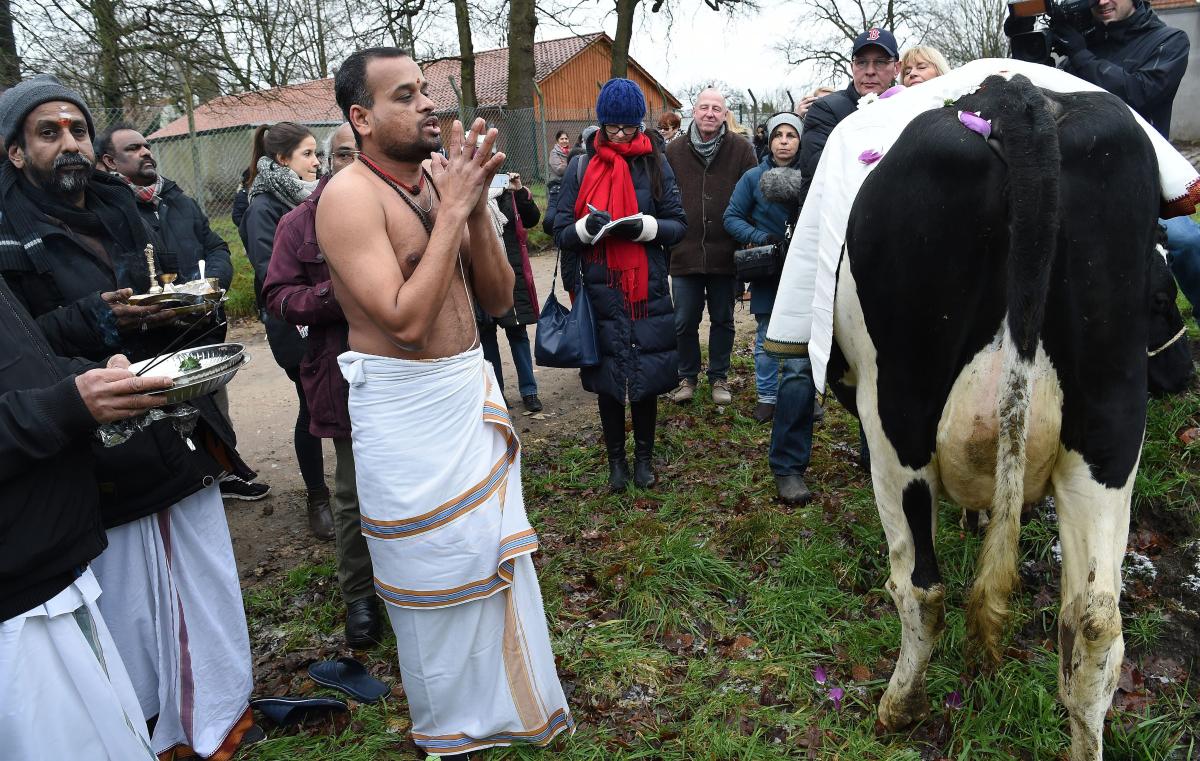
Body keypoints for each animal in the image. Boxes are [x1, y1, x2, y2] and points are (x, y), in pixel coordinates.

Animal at [830, 75, 1195, 758]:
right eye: (1162, 299)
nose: (1186, 375)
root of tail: (1021, 99)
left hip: (899, 412)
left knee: (920, 585)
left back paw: (898, 707)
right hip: (1108, 427)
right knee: (1095, 620)